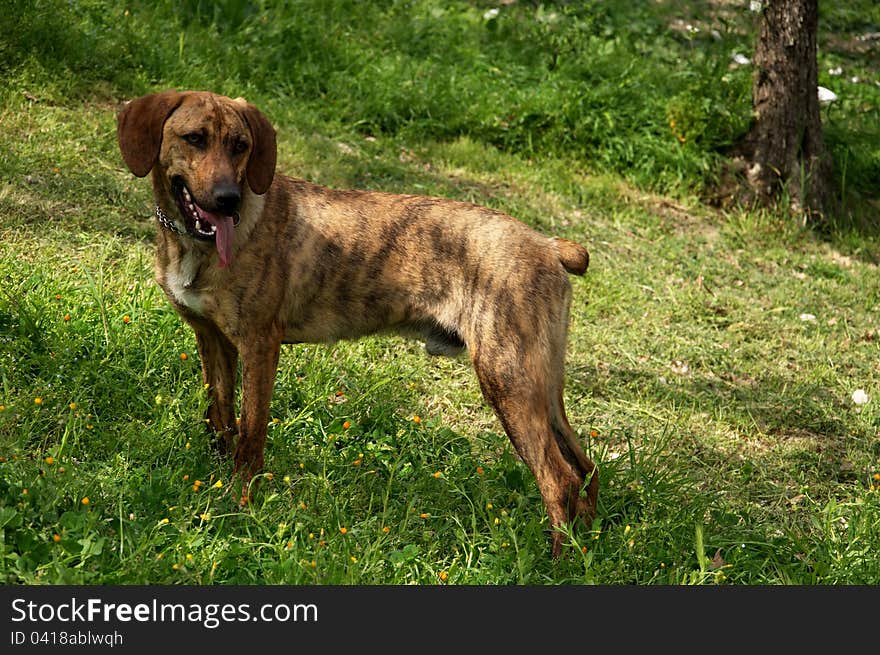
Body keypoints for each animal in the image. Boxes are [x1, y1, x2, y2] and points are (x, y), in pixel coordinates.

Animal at [117, 89, 600, 556]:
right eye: (195, 139)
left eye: (241, 146)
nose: (227, 200)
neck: (194, 244)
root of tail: (548, 244)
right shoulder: (212, 339)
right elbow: (219, 419)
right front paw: (215, 489)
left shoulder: (259, 346)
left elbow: (250, 437)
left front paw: (240, 508)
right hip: (541, 385)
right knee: (586, 469)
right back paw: (588, 548)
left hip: (507, 379)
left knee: (559, 479)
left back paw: (556, 561)